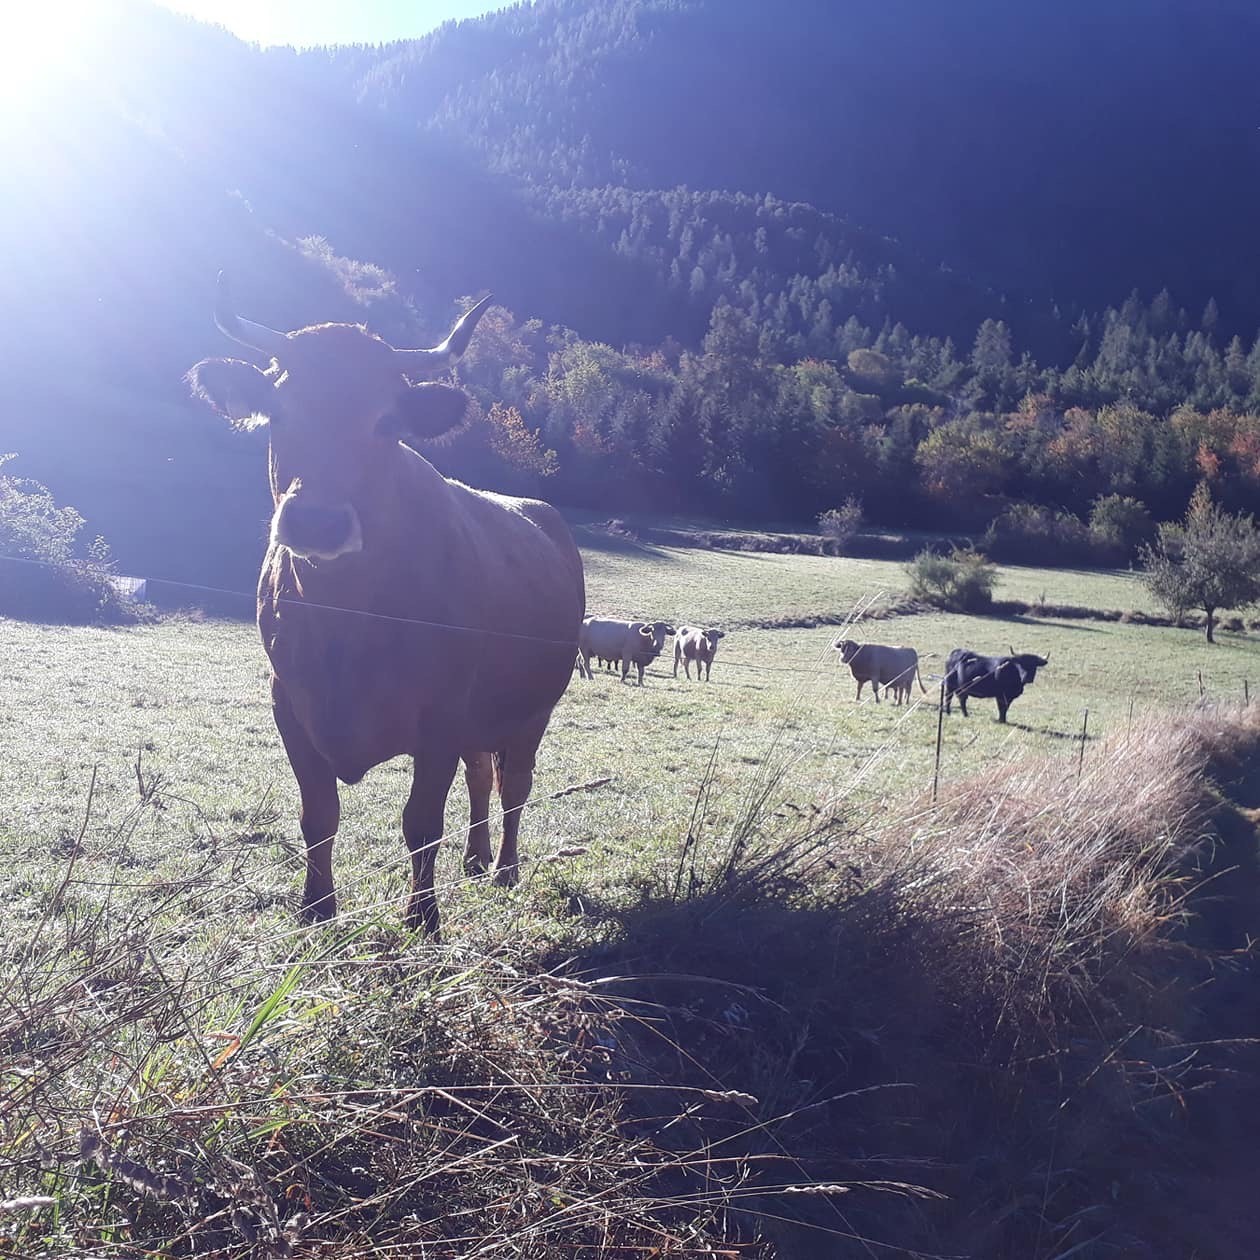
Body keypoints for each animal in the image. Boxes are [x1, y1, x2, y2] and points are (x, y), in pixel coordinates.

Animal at [187, 275, 585, 938]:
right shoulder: (289, 704)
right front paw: (315, 910)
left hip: (532, 710)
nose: (316, 520)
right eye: (280, 412)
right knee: (482, 775)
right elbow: (318, 816)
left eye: (385, 423)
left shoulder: (441, 715)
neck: (345, 622)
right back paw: (475, 860)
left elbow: (421, 822)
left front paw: (422, 917)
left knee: (515, 787)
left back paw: (503, 870)